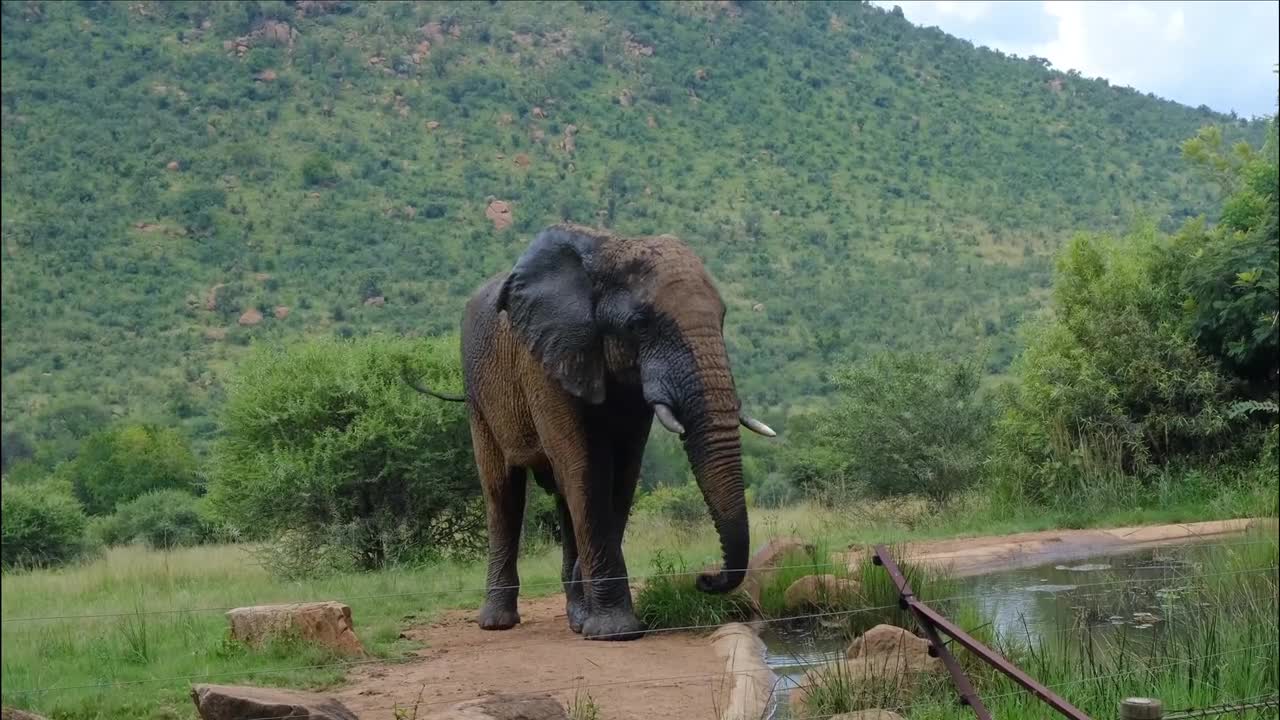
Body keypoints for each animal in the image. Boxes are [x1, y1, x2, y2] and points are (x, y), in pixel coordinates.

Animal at [404, 221, 773, 635]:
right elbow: (588, 469)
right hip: (478, 395)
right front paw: (617, 632)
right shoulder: (546, 362)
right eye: (639, 324)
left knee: (562, 496)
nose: (704, 578)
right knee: (504, 492)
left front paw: (595, 623)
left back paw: (576, 614)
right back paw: (498, 623)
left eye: (723, 319)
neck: (609, 248)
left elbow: (623, 474)